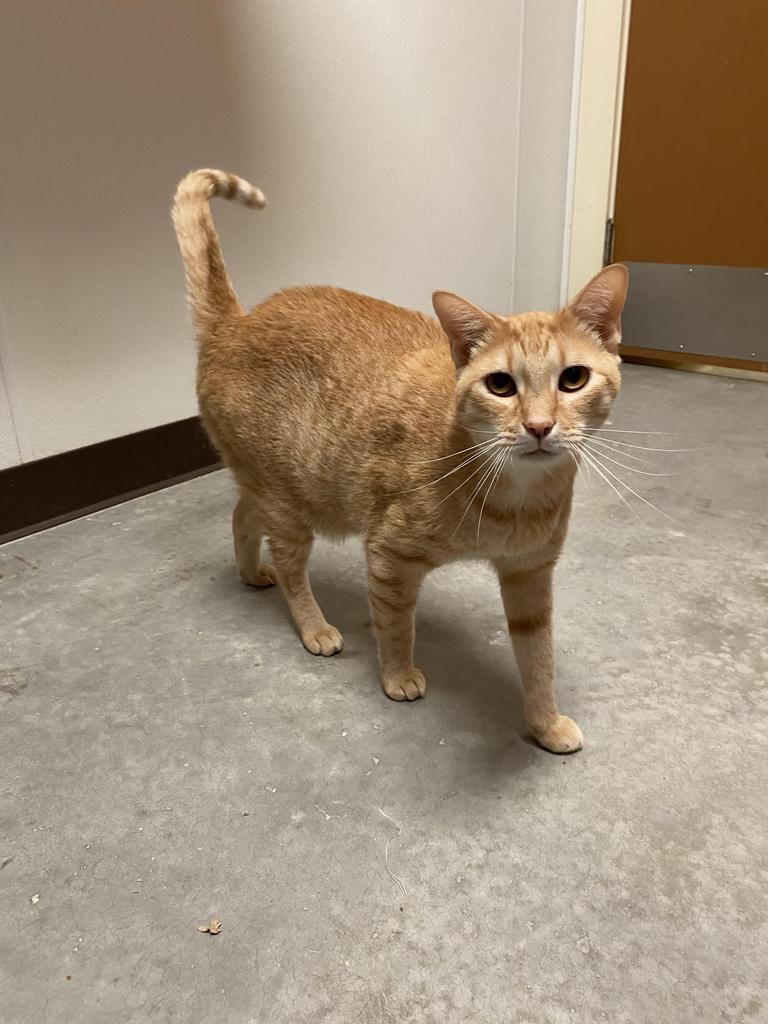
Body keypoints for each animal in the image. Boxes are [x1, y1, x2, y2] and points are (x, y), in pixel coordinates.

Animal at [174, 169, 630, 753]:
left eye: (573, 379)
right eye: (501, 386)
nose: (538, 426)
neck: (513, 499)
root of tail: (235, 323)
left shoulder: (531, 575)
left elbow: (538, 659)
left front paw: (544, 723)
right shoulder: (389, 555)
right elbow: (395, 624)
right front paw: (396, 676)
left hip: (288, 491)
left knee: (241, 515)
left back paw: (250, 572)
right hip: (293, 501)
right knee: (291, 564)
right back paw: (313, 625)